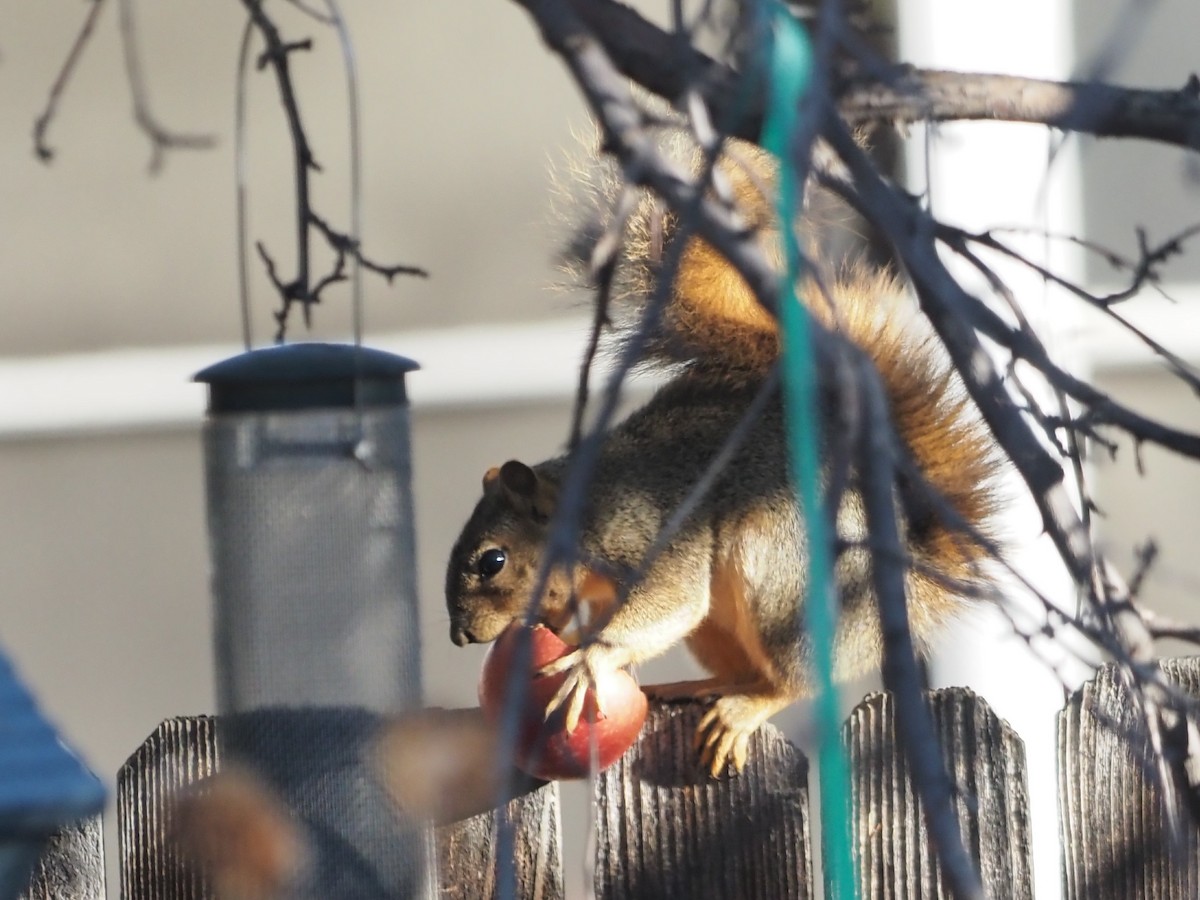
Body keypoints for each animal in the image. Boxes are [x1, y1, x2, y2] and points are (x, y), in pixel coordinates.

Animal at [444, 139, 997, 777]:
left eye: (493, 561)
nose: (460, 637)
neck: (582, 512)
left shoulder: (650, 537)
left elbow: (670, 599)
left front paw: (588, 660)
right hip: (720, 627)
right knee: (741, 669)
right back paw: (691, 688)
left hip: (782, 582)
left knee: (792, 680)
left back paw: (746, 708)